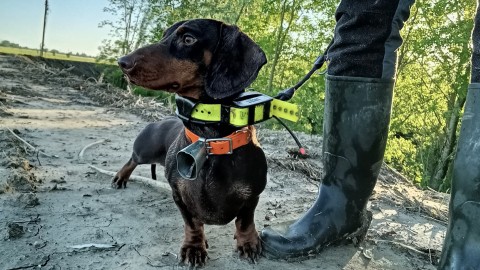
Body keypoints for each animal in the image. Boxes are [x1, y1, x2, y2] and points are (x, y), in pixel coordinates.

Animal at [114, 19, 268, 266]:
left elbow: (245, 220)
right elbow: (192, 224)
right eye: (164, 35)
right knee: (132, 159)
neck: (210, 141)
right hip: (145, 151)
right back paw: (121, 176)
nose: (122, 62)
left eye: (188, 39)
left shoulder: (252, 194)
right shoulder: (179, 195)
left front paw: (248, 242)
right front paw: (194, 248)